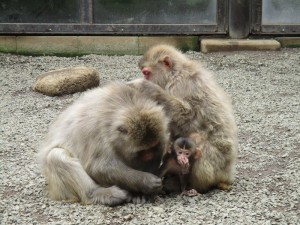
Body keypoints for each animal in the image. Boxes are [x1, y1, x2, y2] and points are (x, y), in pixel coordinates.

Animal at [37, 81, 170, 206]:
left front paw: (141, 192)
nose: (148, 156)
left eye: (152, 147)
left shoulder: (163, 133)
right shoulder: (96, 130)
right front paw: (146, 181)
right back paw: (97, 193)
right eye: (142, 151)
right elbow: (99, 167)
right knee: (56, 155)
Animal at [135, 44, 238, 193]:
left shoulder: (179, 85)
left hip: (216, 166)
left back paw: (193, 186)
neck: (174, 74)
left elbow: (189, 117)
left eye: (146, 73)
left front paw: (149, 89)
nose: (145, 78)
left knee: (197, 137)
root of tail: (228, 175)